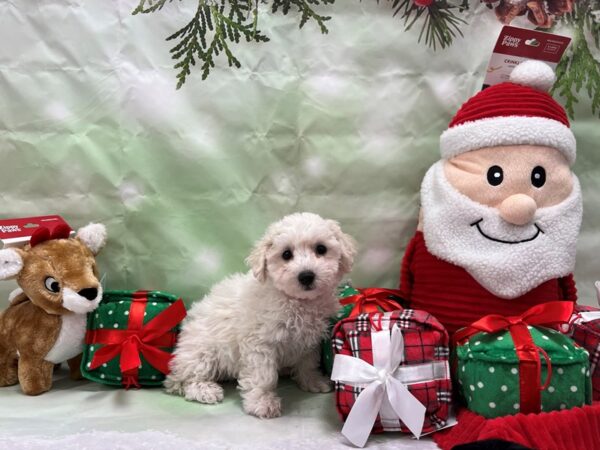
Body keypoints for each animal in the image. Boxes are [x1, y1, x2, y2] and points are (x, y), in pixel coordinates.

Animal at [164, 214, 356, 418]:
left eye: (321, 249)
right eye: (286, 254)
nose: (306, 276)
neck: (297, 301)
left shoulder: (308, 341)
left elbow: (308, 362)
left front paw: (312, 381)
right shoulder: (259, 342)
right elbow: (264, 376)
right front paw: (262, 402)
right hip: (202, 352)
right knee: (184, 380)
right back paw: (205, 390)